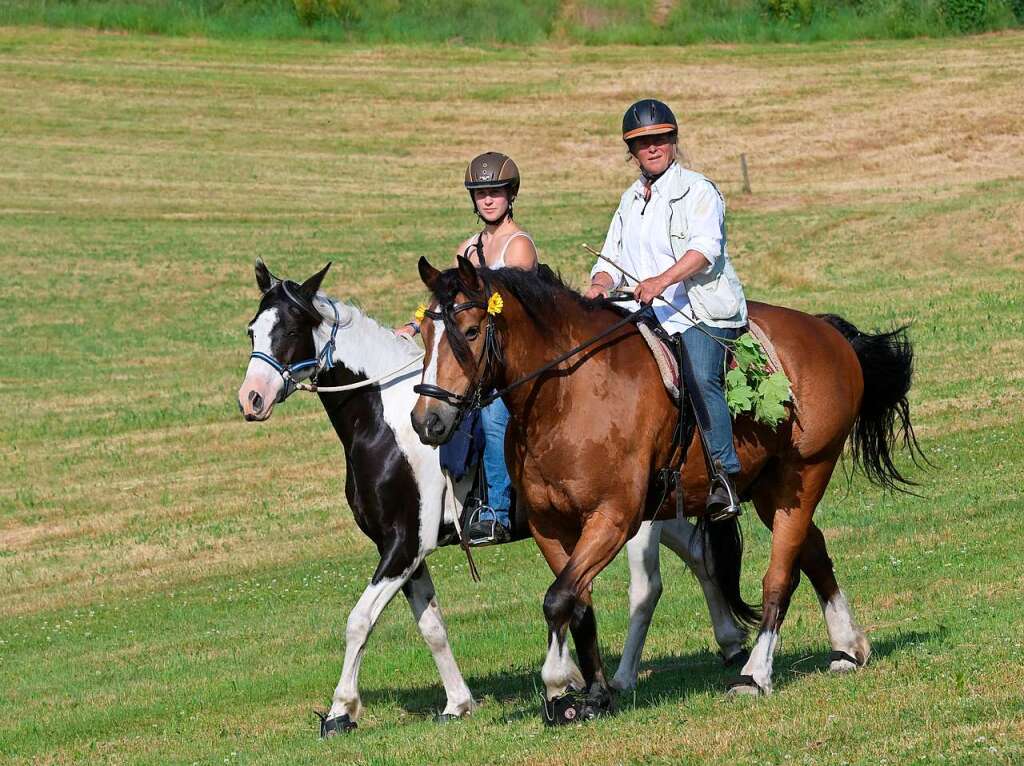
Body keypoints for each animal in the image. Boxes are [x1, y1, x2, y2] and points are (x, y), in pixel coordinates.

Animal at [237, 262, 753, 737]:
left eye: (289, 330)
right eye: (252, 331)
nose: (251, 399)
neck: (385, 422)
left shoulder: (404, 545)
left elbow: (359, 620)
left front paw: (340, 711)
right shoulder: (404, 550)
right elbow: (432, 626)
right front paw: (458, 703)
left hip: (631, 521)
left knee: (648, 587)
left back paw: (628, 676)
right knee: (700, 556)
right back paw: (730, 643)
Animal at [411, 257, 925, 716]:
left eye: (470, 332)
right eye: (425, 336)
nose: (426, 420)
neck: (569, 394)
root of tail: (826, 332)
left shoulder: (613, 519)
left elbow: (557, 599)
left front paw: (558, 685)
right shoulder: (549, 526)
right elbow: (577, 604)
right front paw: (594, 696)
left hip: (805, 475)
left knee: (780, 578)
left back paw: (755, 675)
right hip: (770, 490)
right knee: (815, 553)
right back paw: (847, 648)